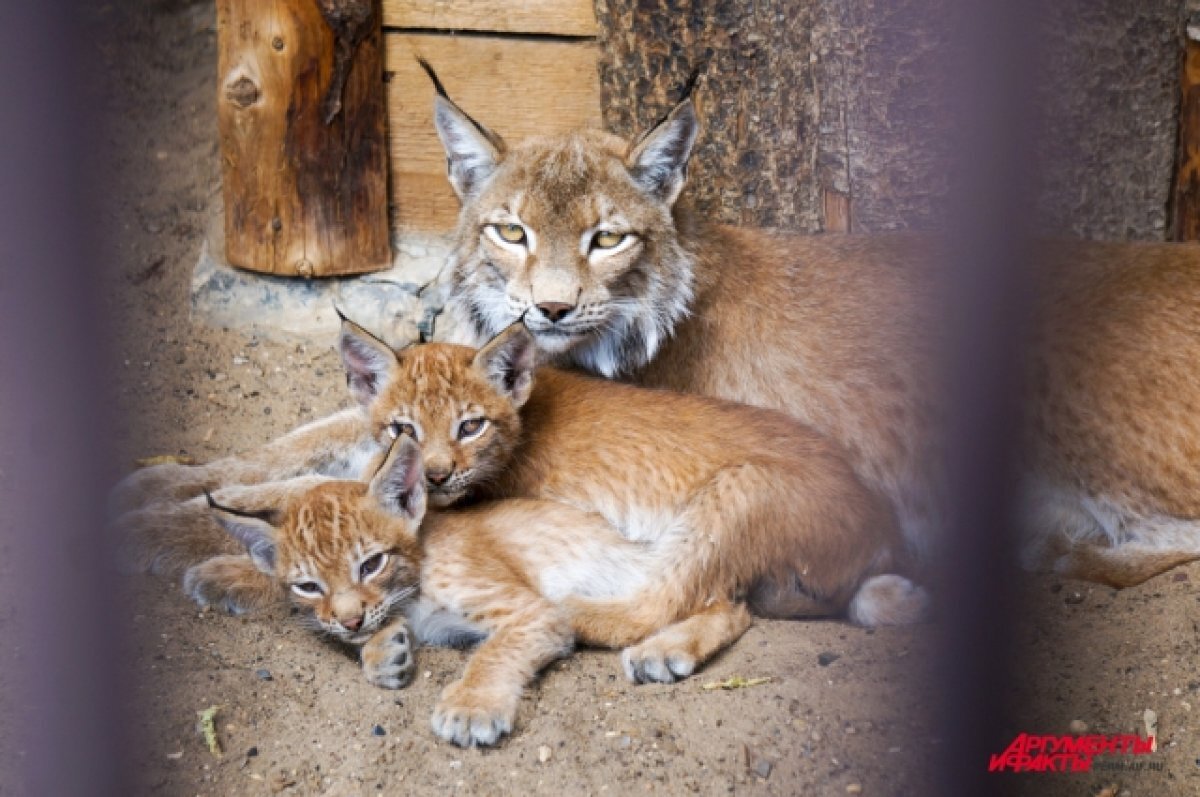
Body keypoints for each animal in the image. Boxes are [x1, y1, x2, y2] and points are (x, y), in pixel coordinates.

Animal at [174, 316, 926, 748]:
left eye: (470, 426)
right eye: (404, 427)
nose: (437, 471)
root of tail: (884, 521)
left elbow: (314, 495)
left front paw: (206, 544)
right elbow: (303, 454)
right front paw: (193, 489)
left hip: (733, 492)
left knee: (660, 597)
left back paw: (600, 623)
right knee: (722, 599)